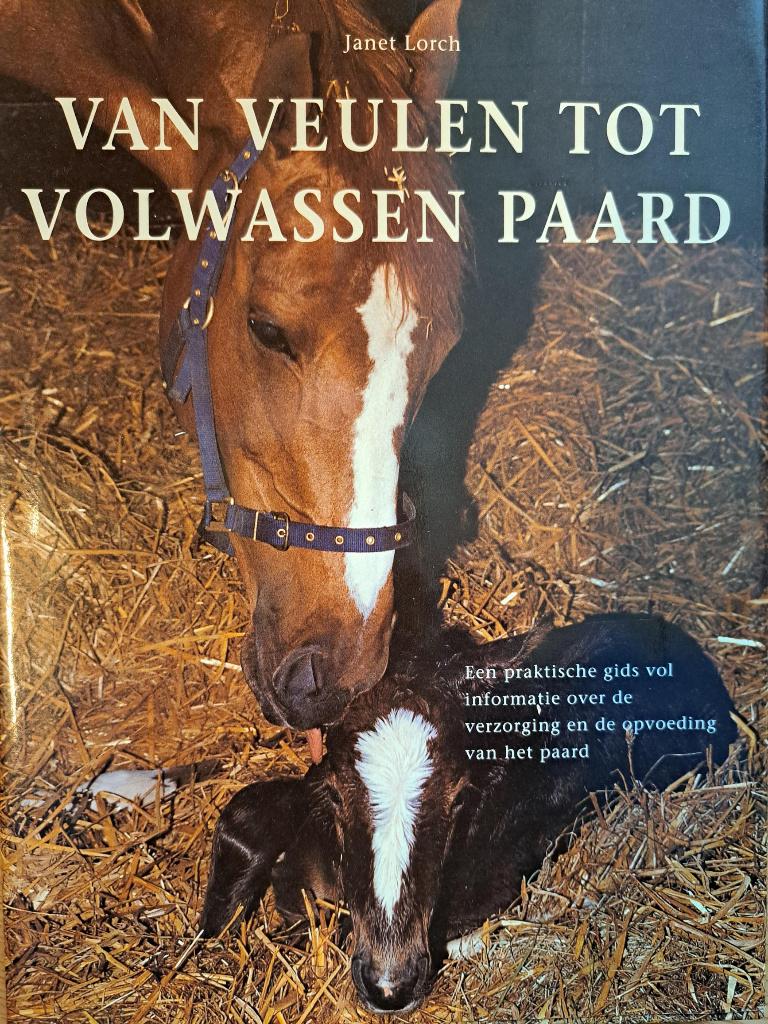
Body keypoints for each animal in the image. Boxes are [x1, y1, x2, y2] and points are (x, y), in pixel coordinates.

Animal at [200, 612, 737, 1014]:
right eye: (336, 794)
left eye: (458, 797)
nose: (389, 986)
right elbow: (245, 817)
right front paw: (210, 930)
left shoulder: (492, 882)